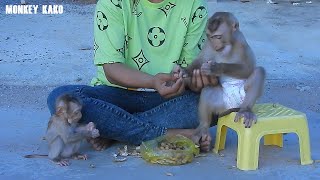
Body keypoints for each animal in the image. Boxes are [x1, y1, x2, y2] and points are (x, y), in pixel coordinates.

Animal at [178, 11, 264, 149]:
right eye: (210, 36)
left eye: (218, 36)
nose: (215, 44)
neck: (226, 46)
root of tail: (234, 106)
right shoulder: (208, 44)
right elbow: (200, 60)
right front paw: (185, 71)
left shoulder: (241, 41)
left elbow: (248, 68)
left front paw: (216, 68)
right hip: (222, 103)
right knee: (208, 90)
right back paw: (203, 127)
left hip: (242, 98)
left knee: (259, 72)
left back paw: (246, 110)